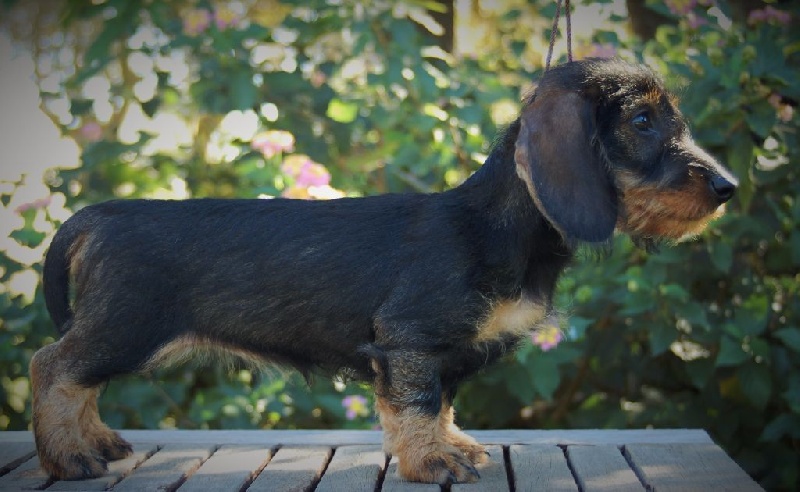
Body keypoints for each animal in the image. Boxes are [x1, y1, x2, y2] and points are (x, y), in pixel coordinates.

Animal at [30, 58, 736, 484]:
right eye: (642, 121)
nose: (729, 186)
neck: (497, 224)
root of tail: (99, 215)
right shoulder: (411, 339)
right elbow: (418, 405)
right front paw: (432, 460)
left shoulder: (442, 352)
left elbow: (441, 404)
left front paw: (451, 445)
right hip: (126, 326)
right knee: (54, 368)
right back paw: (69, 454)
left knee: (76, 379)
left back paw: (96, 442)